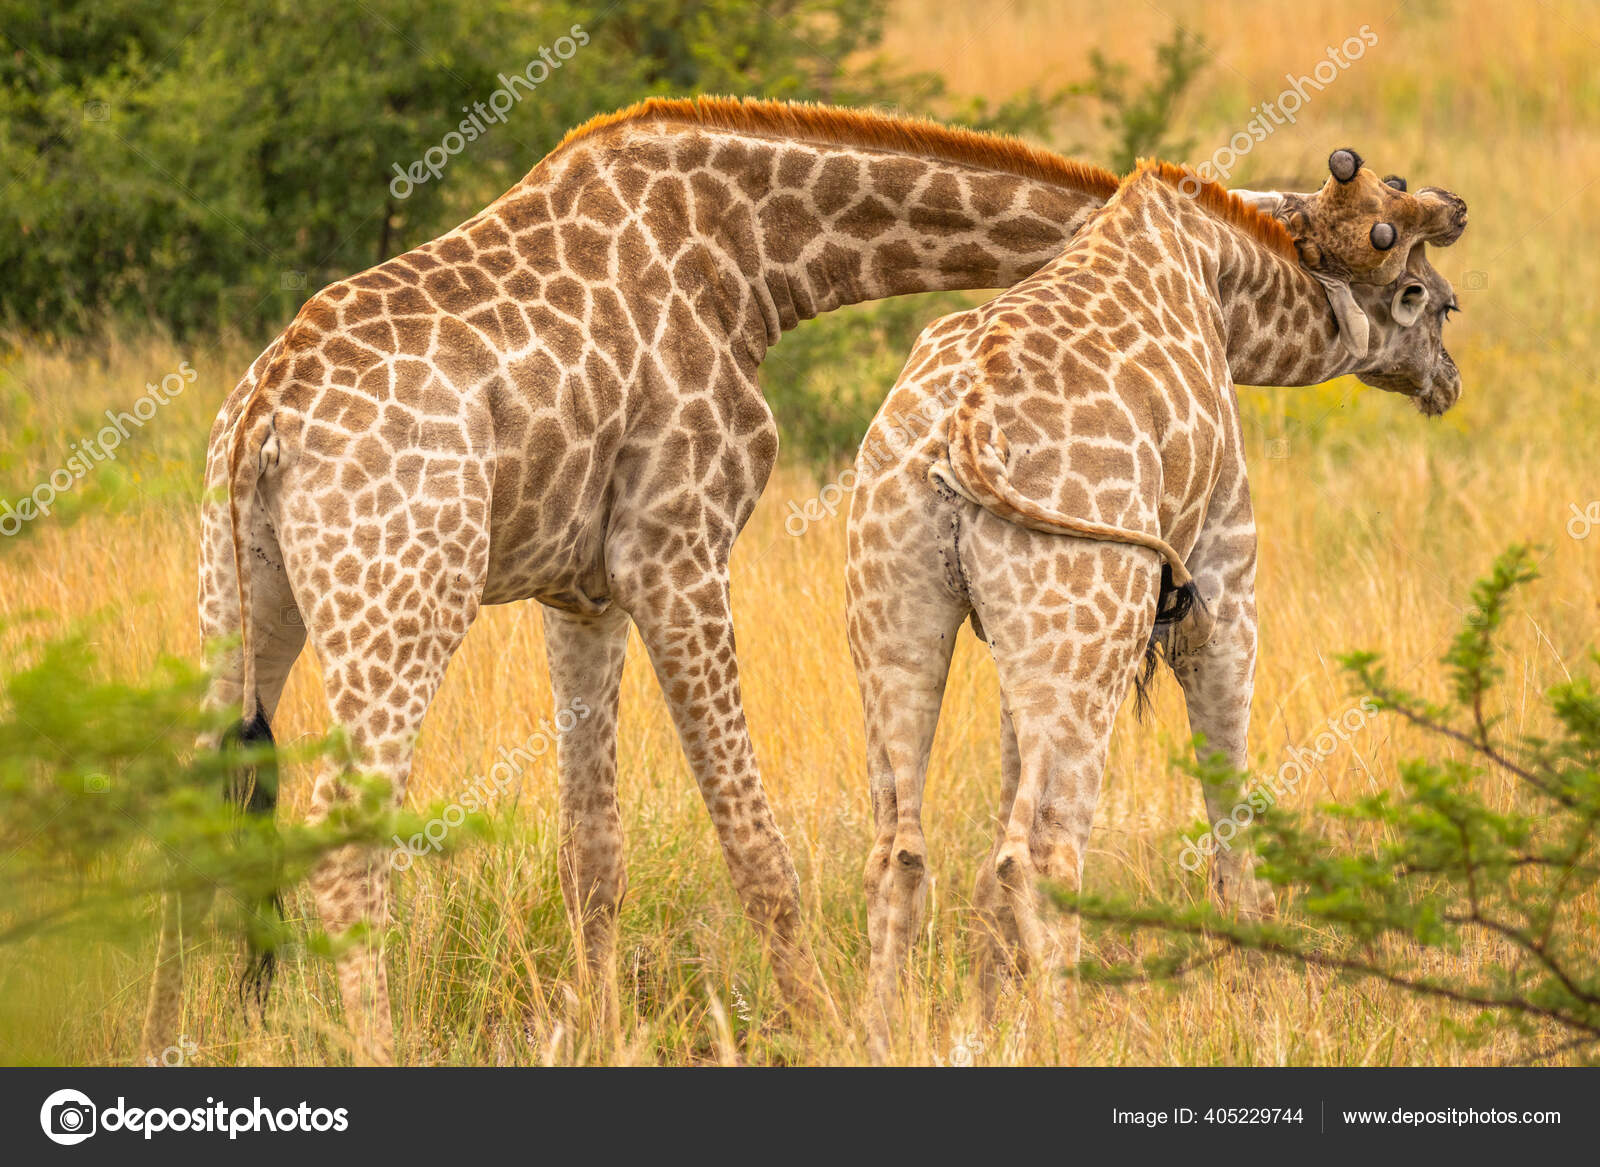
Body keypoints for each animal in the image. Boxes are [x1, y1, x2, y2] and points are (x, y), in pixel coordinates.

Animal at [139, 97, 1156, 1065]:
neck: (753, 254)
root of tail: (262, 413)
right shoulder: (678, 547)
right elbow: (758, 848)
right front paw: (824, 1031)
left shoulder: (579, 593)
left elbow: (592, 853)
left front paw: (600, 1035)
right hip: (400, 600)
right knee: (344, 838)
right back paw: (373, 1052)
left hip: (239, 591)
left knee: (199, 799)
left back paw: (160, 1044)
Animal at [843, 158, 1465, 1059]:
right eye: (1439, 300)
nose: (1448, 381)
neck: (1218, 277)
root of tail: (955, 430)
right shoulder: (1226, 583)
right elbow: (1232, 813)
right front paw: (1263, 1004)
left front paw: (984, 1021)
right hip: (1089, 616)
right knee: (1044, 851)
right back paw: (1066, 1041)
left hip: (900, 606)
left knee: (900, 849)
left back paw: (881, 1039)